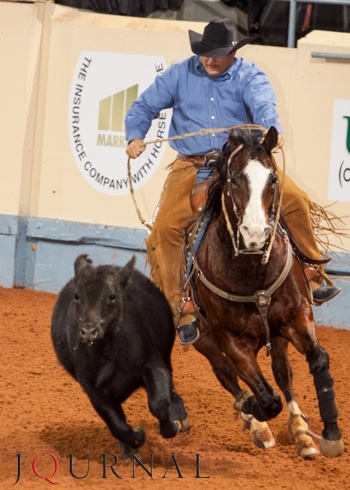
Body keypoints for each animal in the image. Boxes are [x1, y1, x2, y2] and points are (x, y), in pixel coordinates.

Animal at [186, 126, 344, 460]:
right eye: (234, 178)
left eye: (272, 178)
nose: (255, 235)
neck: (251, 271)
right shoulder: (231, 341)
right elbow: (267, 399)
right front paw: (253, 411)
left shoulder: (296, 315)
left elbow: (317, 359)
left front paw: (329, 434)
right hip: (202, 338)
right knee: (225, 373)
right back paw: (255, 421)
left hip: (278, 335)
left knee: (282, 373)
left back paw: (301, 433)